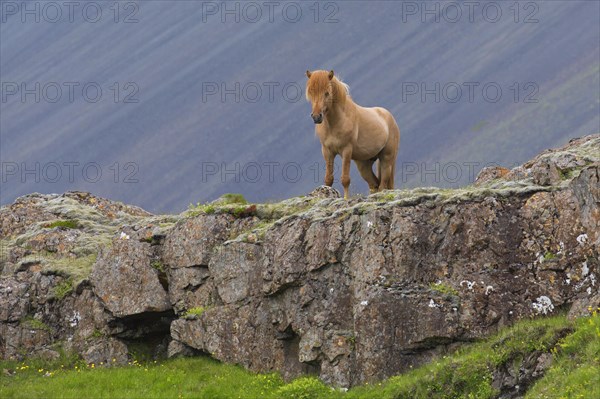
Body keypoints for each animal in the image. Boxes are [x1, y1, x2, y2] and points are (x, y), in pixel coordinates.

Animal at [308, 70, 400, 200]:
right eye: (310, 92)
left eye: (327, 93)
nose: (316, 117)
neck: (337, 122)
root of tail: (389, 116)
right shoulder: (327, 151)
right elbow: (328, 179)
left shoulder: (346, 150)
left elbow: (345, 179)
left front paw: (346, 199)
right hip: (364, 164)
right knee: (374, 184)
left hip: (387, 159)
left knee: (382, 185)